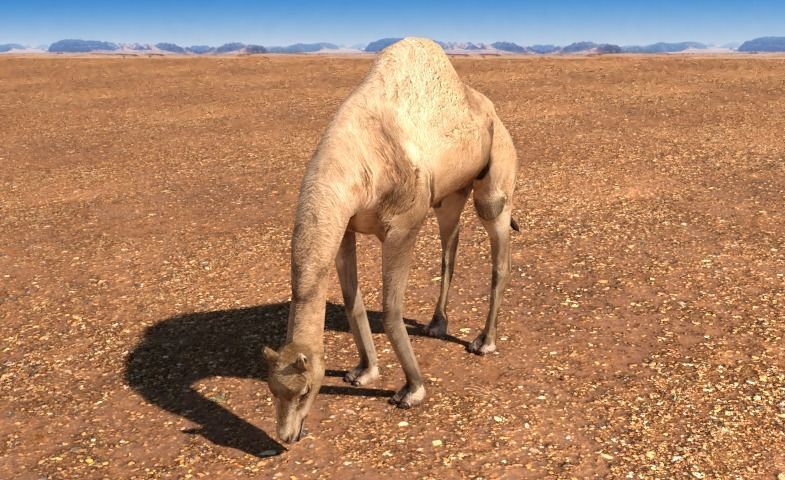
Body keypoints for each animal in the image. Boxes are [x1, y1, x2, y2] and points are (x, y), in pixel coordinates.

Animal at [262, 37, 519, 443]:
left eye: (305, 391)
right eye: (273, 390)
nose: (286, 437)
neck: (354, 163)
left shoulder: (402, 227)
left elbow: (391, 309)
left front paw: (412, 390)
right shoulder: (345, 225)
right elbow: (352, 302)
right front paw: (363, 371)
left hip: (495, 180)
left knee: (499, 251)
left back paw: (484, 341)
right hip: (450, 195)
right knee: (450, 245)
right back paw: (436, 325)